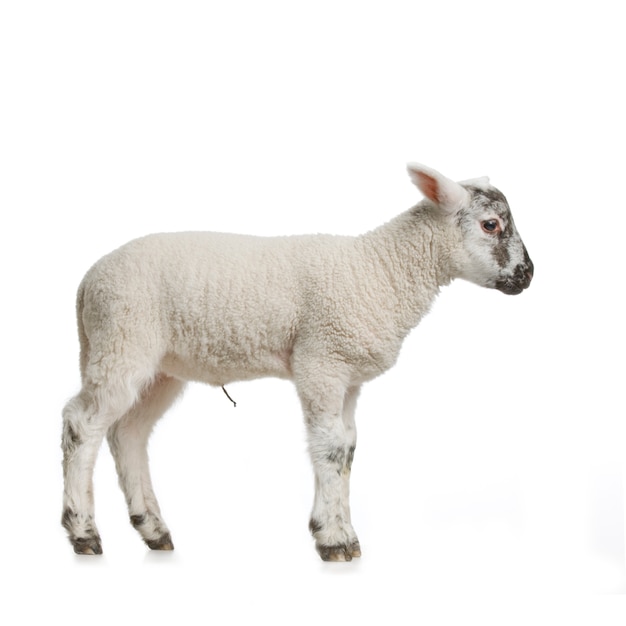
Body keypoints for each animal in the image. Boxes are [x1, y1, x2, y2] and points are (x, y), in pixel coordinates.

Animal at [61, 160, 532, 556]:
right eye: (491, 225)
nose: (528, 275)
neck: (382, 269)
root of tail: (87, 282)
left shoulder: (348, 375)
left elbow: (348, 446)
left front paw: (339, 529)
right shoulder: (321, 360)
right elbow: (330, 447)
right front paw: (335, 539)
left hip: (155, 364)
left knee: (128, 433)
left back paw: (153, 529)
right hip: (122, 339)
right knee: (82, 425)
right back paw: (83, 532)